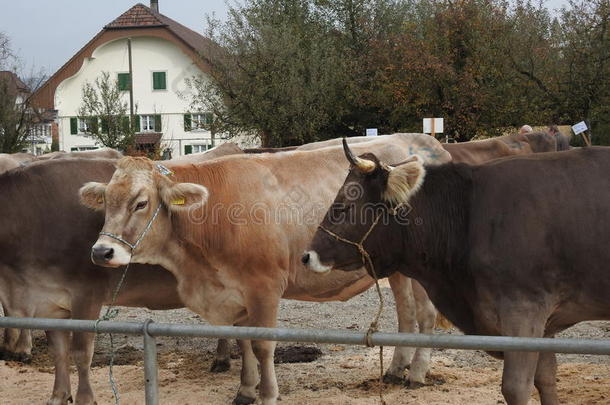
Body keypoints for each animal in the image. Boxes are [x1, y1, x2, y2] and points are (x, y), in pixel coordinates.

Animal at [304, 141, 608, 404]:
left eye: (344, 206)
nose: (307, 256)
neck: (467, 215)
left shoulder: (524, 310)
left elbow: (516, 387)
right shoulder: (543, 324)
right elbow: (545, 379)